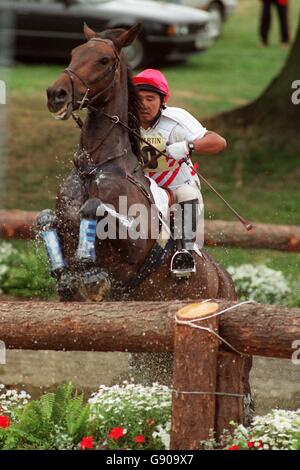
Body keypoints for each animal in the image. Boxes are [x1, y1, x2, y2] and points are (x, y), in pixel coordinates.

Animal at [44, 23, 237, 304]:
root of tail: (224, 279)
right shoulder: (64, 220)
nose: (56, 94)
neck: (94, 168)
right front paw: (69, 276)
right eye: (74, 53)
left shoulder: (133, 244)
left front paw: (91, 273)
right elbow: (47, 220)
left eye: (104, 60)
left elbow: (93, 208)